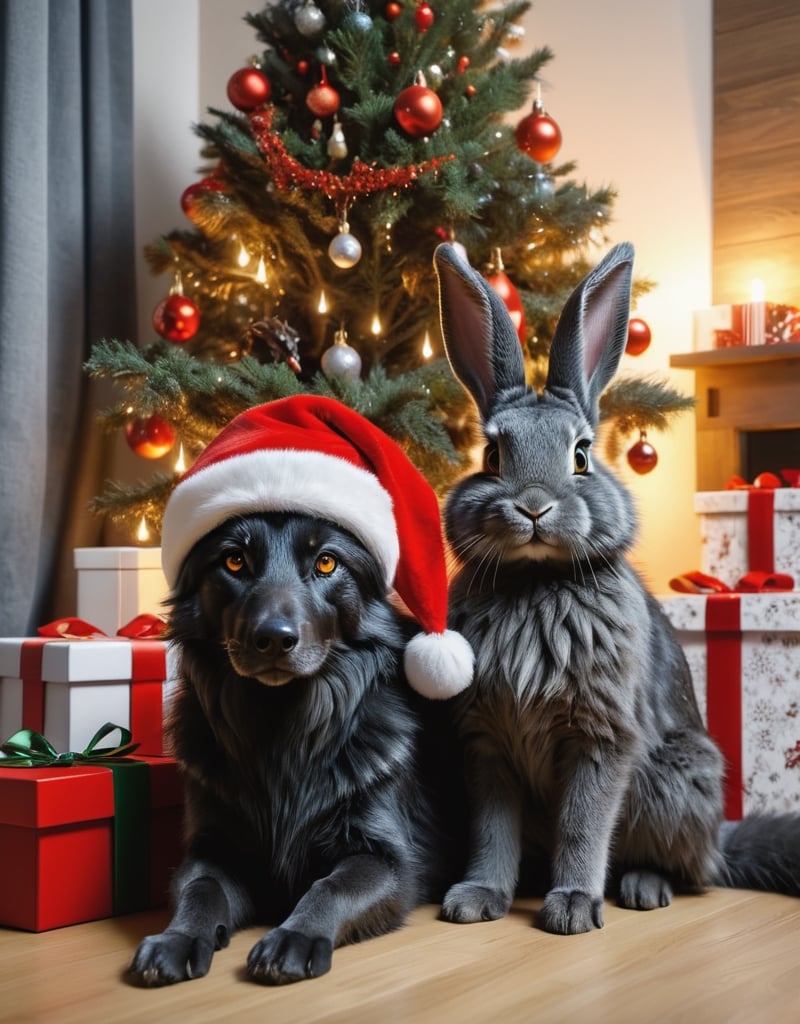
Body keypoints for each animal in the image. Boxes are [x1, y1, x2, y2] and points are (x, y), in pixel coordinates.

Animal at [128, 512, 458, 983]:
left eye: (326, 562)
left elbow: (331, 885)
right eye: (234, 560)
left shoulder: (389, 859)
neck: (283, 732)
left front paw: (295, 935)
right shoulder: (212, 848)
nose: (274, 639)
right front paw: (177, 938)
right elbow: (200, 888)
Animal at [434, 241, 798, 937]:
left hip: (671, 785)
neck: (536, 583)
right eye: (491, 458)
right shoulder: (487, 743)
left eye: (581, 455)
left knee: (684, 872)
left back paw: (640, 887)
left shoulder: (601, 740)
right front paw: (475, 900)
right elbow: (492, 832)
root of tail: (718, 842)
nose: (533, 507)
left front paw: (573, 908)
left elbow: (583, 825)